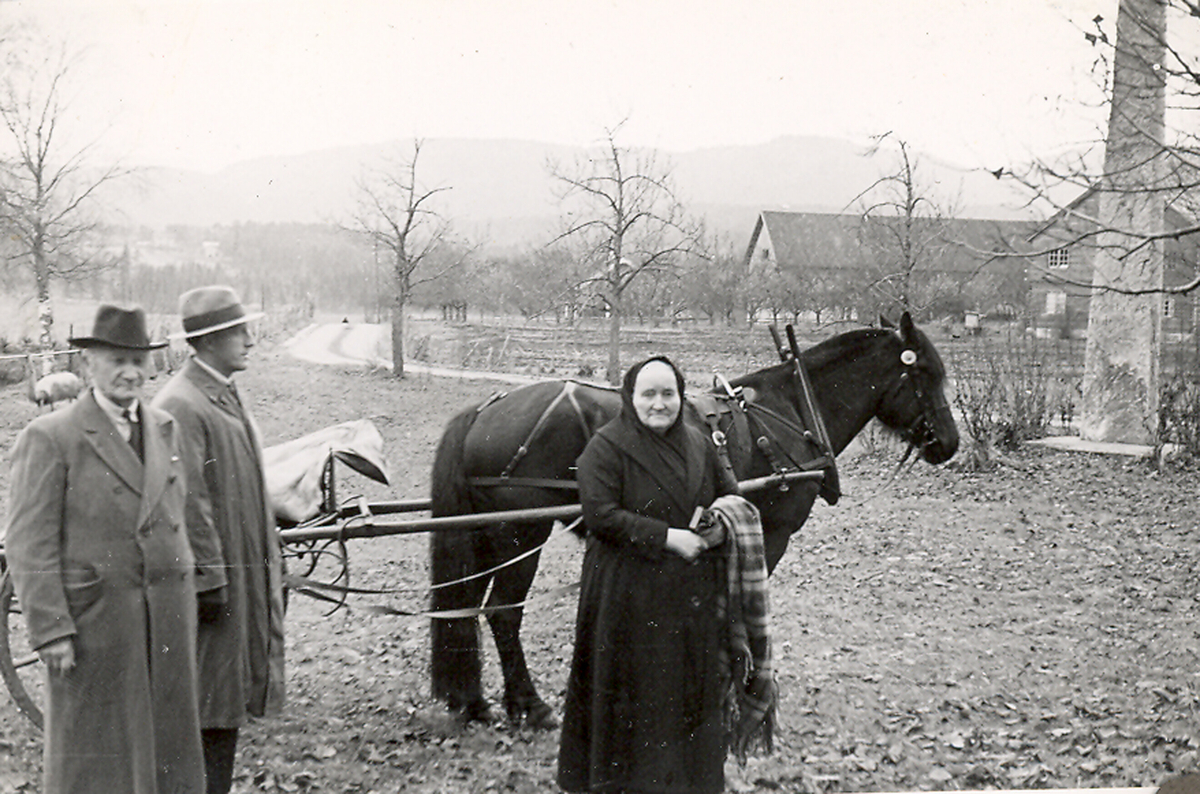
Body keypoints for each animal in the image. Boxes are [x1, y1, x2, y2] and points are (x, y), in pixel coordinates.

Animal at [427, 314, 960, 729]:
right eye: (928, 373)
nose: (950, 443)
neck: (792, 409)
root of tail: (486, 410)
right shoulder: (773, 534)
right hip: (519, 534)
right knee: (502, 613)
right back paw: (529, 705)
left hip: (486, 535)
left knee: (463, 607)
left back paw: (473, 702)